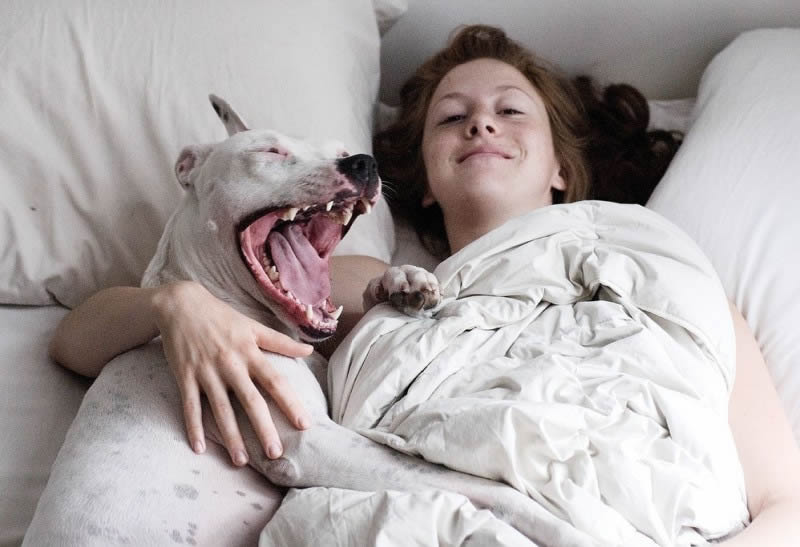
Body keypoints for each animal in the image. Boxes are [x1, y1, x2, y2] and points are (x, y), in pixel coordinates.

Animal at [140, 95, 548, 540]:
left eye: (340, 151)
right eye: (270, 151)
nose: (362, 163)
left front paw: (403, 281)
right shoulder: (313, 444)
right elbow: (477, 485)